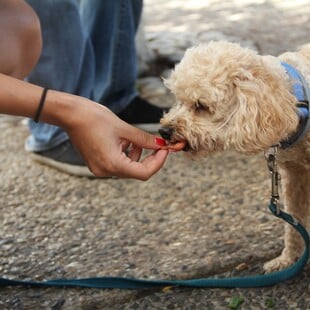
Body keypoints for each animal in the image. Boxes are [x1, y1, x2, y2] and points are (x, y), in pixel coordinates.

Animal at [160, 41, 310, 272]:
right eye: (179, 100)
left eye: (201, 105)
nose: (164, 131)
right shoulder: (295, 176)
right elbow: (294, 224)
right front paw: (288, 259)